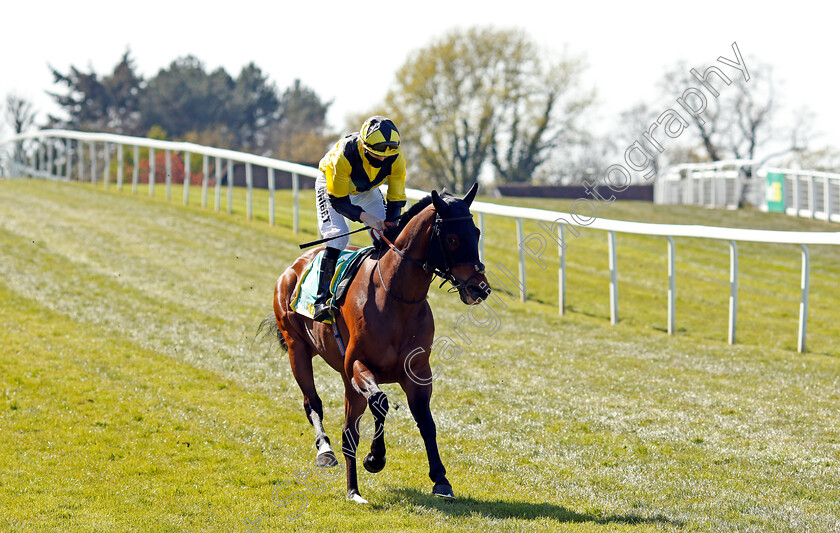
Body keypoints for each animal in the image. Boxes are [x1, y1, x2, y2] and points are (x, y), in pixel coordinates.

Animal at [260, 181, 488, 500]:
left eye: (476, 233)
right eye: (453, 238)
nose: (480, 288)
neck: (395, 297)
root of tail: (294, 266)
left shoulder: (418, 372)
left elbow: (426, 421)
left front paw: (441, 479)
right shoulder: (358, 363)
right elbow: (379, 402)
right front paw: (375, 458)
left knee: (349, 430)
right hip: (298, 349)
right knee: (313, 403)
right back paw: (327, 453)